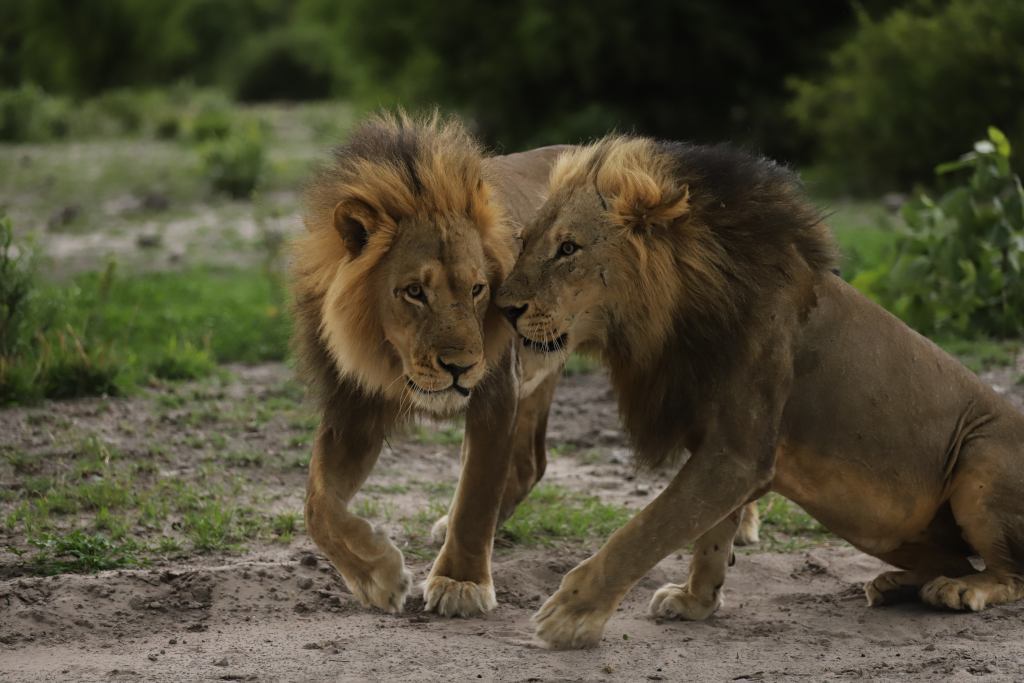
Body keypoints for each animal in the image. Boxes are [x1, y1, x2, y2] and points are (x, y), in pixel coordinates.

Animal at [292, 113, 569, 618]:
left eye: (478, 289)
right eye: (414, 292)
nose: (461, 367)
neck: (389, 361)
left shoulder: (497, 390)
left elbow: (477, 491)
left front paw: (461, 583)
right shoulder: (353, 407)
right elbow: (318, 506)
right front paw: (377, 576)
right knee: (529, 463)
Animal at [499, 135, 1024, 651]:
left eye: (569, 248)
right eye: (525, 241)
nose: (504, 308)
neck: (678, 312)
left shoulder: (738, 454)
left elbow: (647, 529)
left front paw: (570, 614)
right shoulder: (716, 446)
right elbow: (710, 534)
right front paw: (696, 600)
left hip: (980, 459)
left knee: (1009, 574)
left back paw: (959, 591)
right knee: (956, 560)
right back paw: (898, 585)